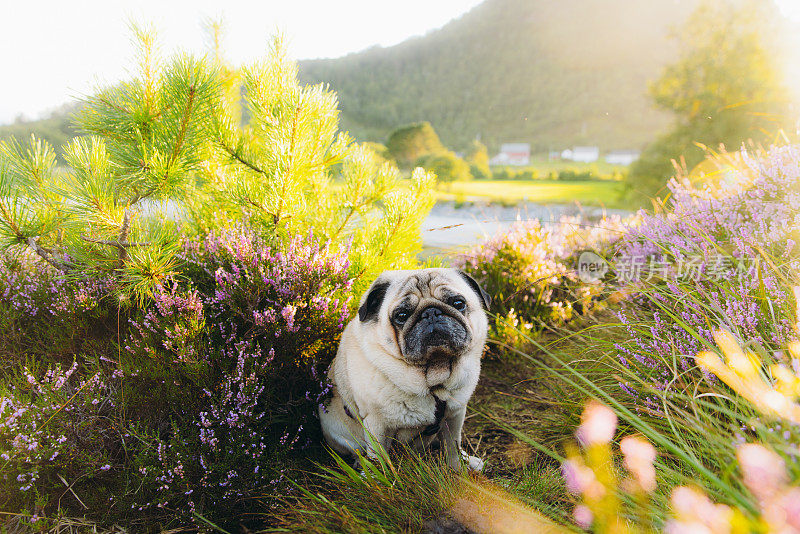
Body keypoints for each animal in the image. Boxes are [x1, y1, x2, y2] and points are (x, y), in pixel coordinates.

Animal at [318, 270, 488, 472]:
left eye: (458, 303)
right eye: (401, 315)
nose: (431, 312)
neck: (434, 379)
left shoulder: (454, 415)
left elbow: (453, 445)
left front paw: (458, 468)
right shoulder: (377, 424)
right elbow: (379, 459)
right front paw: (378, 477)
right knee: (357, 450)